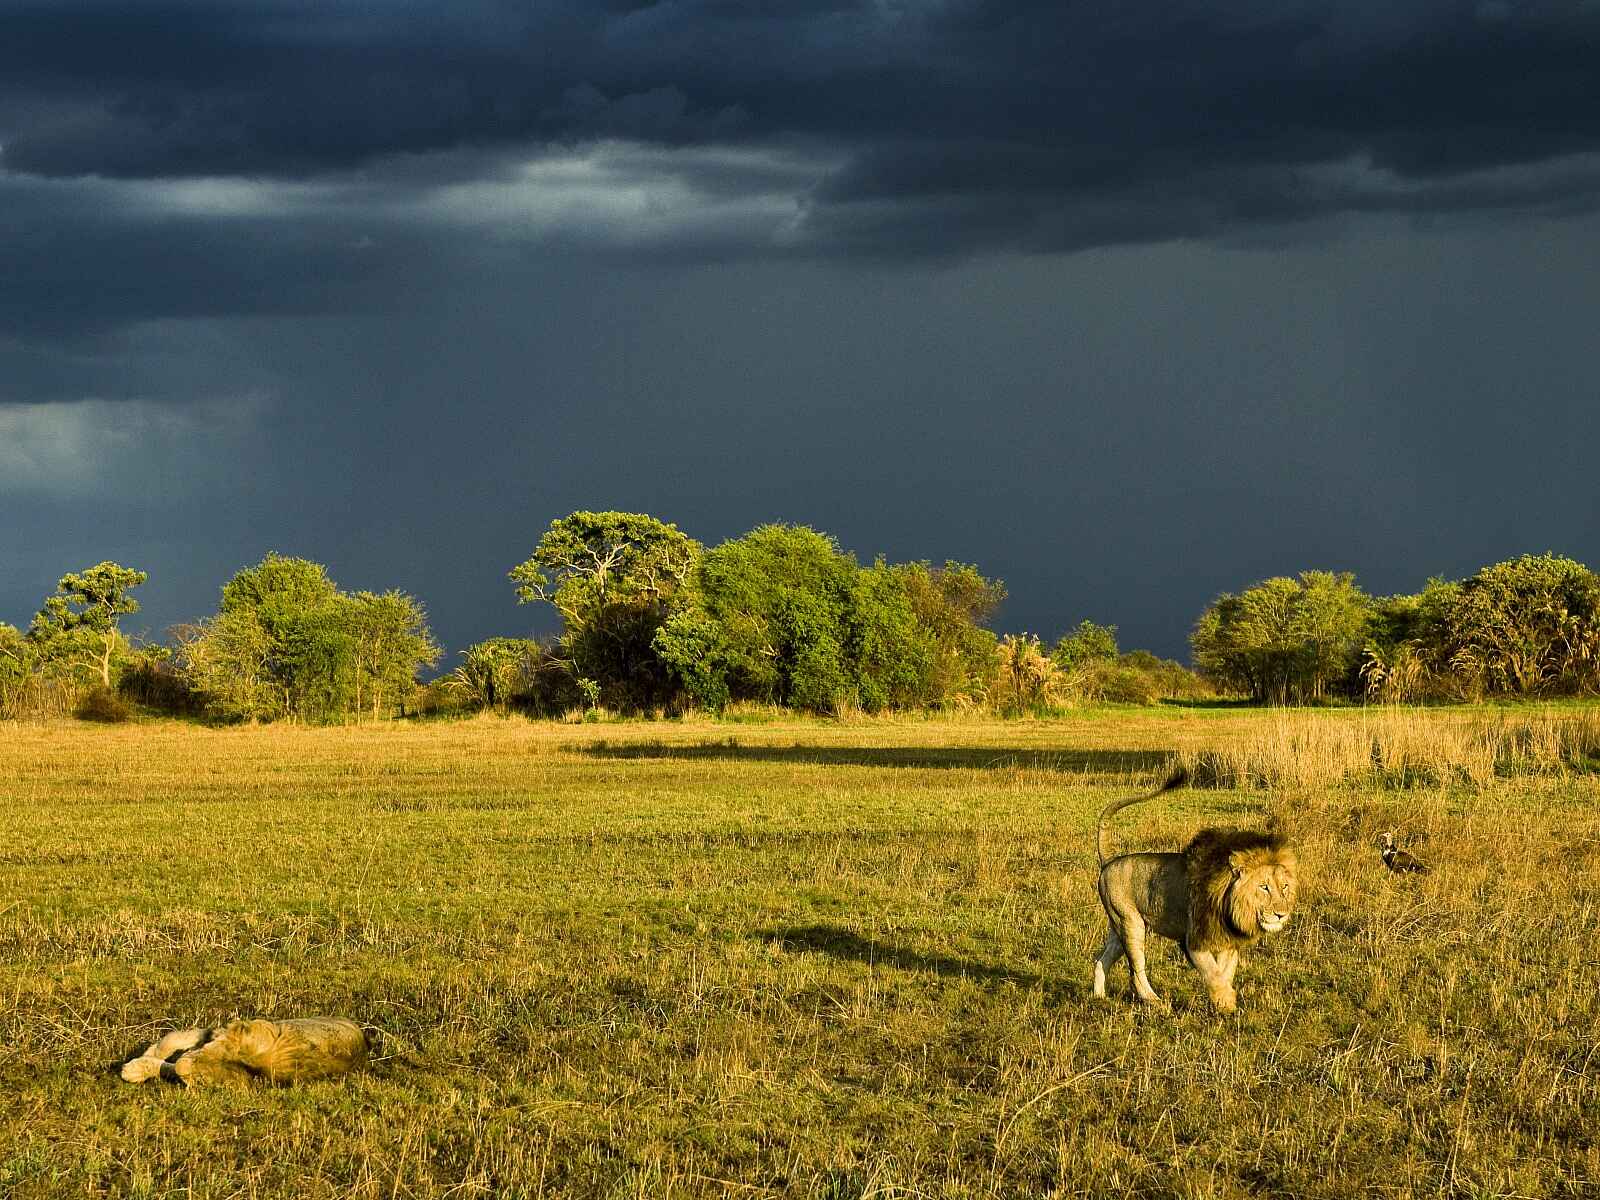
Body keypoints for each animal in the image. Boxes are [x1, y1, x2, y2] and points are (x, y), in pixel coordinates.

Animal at [1090, 769, 1297, 1013]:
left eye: (1284, 887)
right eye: (1264, 887)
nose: (1281, 914)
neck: (1229, 903)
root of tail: (1109, 861)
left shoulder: (1227, 941)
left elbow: (1224, 972)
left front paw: (1222, 1002)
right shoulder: (1194, 939)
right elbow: (1213, 972)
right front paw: (1226, 1002)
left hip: (1118, 926)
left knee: (1101, 959)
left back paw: (1099, 997)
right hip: (1131, 922)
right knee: (1136, 970)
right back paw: (1155, 1002)